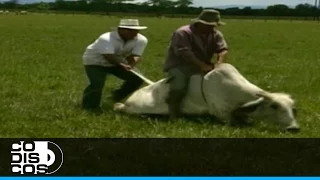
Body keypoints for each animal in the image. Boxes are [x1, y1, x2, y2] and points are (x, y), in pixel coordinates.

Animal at [113, 63, 300, 132]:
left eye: (293, 108)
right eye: (274, 106)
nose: (294, 128)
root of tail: (129, 100)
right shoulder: (223, 116)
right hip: (135, 109)